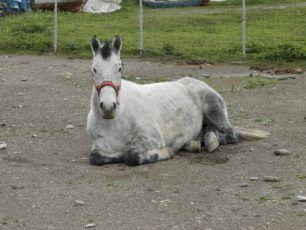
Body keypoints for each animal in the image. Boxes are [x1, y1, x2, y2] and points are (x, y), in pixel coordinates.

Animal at [85, 35, 268, 166]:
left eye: (120, 68)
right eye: (94, 69)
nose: (108, 107)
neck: (115, 122)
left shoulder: (151, 139)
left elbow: (130, 155)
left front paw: (165, 152)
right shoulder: (98, 146)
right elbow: (95, 158)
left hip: (213, 110)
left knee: (231, 134)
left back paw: (210, 141)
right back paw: (196, 142)